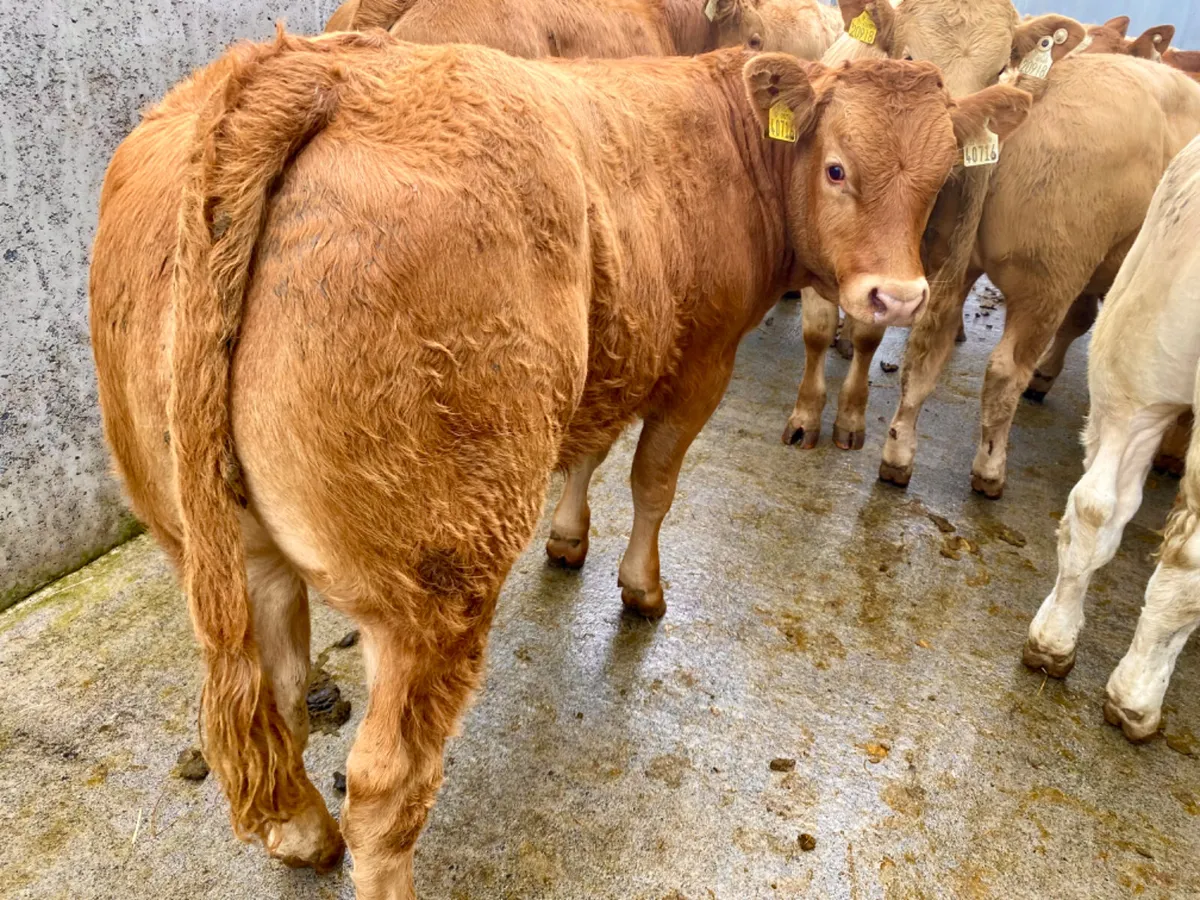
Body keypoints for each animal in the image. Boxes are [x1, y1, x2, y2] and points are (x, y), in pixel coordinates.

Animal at [91, 28, 1022, 900]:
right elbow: (653, 482)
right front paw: (641, 589)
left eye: (942, 174)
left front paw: (569, 539)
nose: (898, 297)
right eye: (835, 168)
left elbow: (590, 451)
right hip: (438, 573)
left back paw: (302, 834)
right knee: (386, 786)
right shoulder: (700, 362)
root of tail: (303, 67)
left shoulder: (608, 360)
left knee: (277, 701)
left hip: (221, 544)